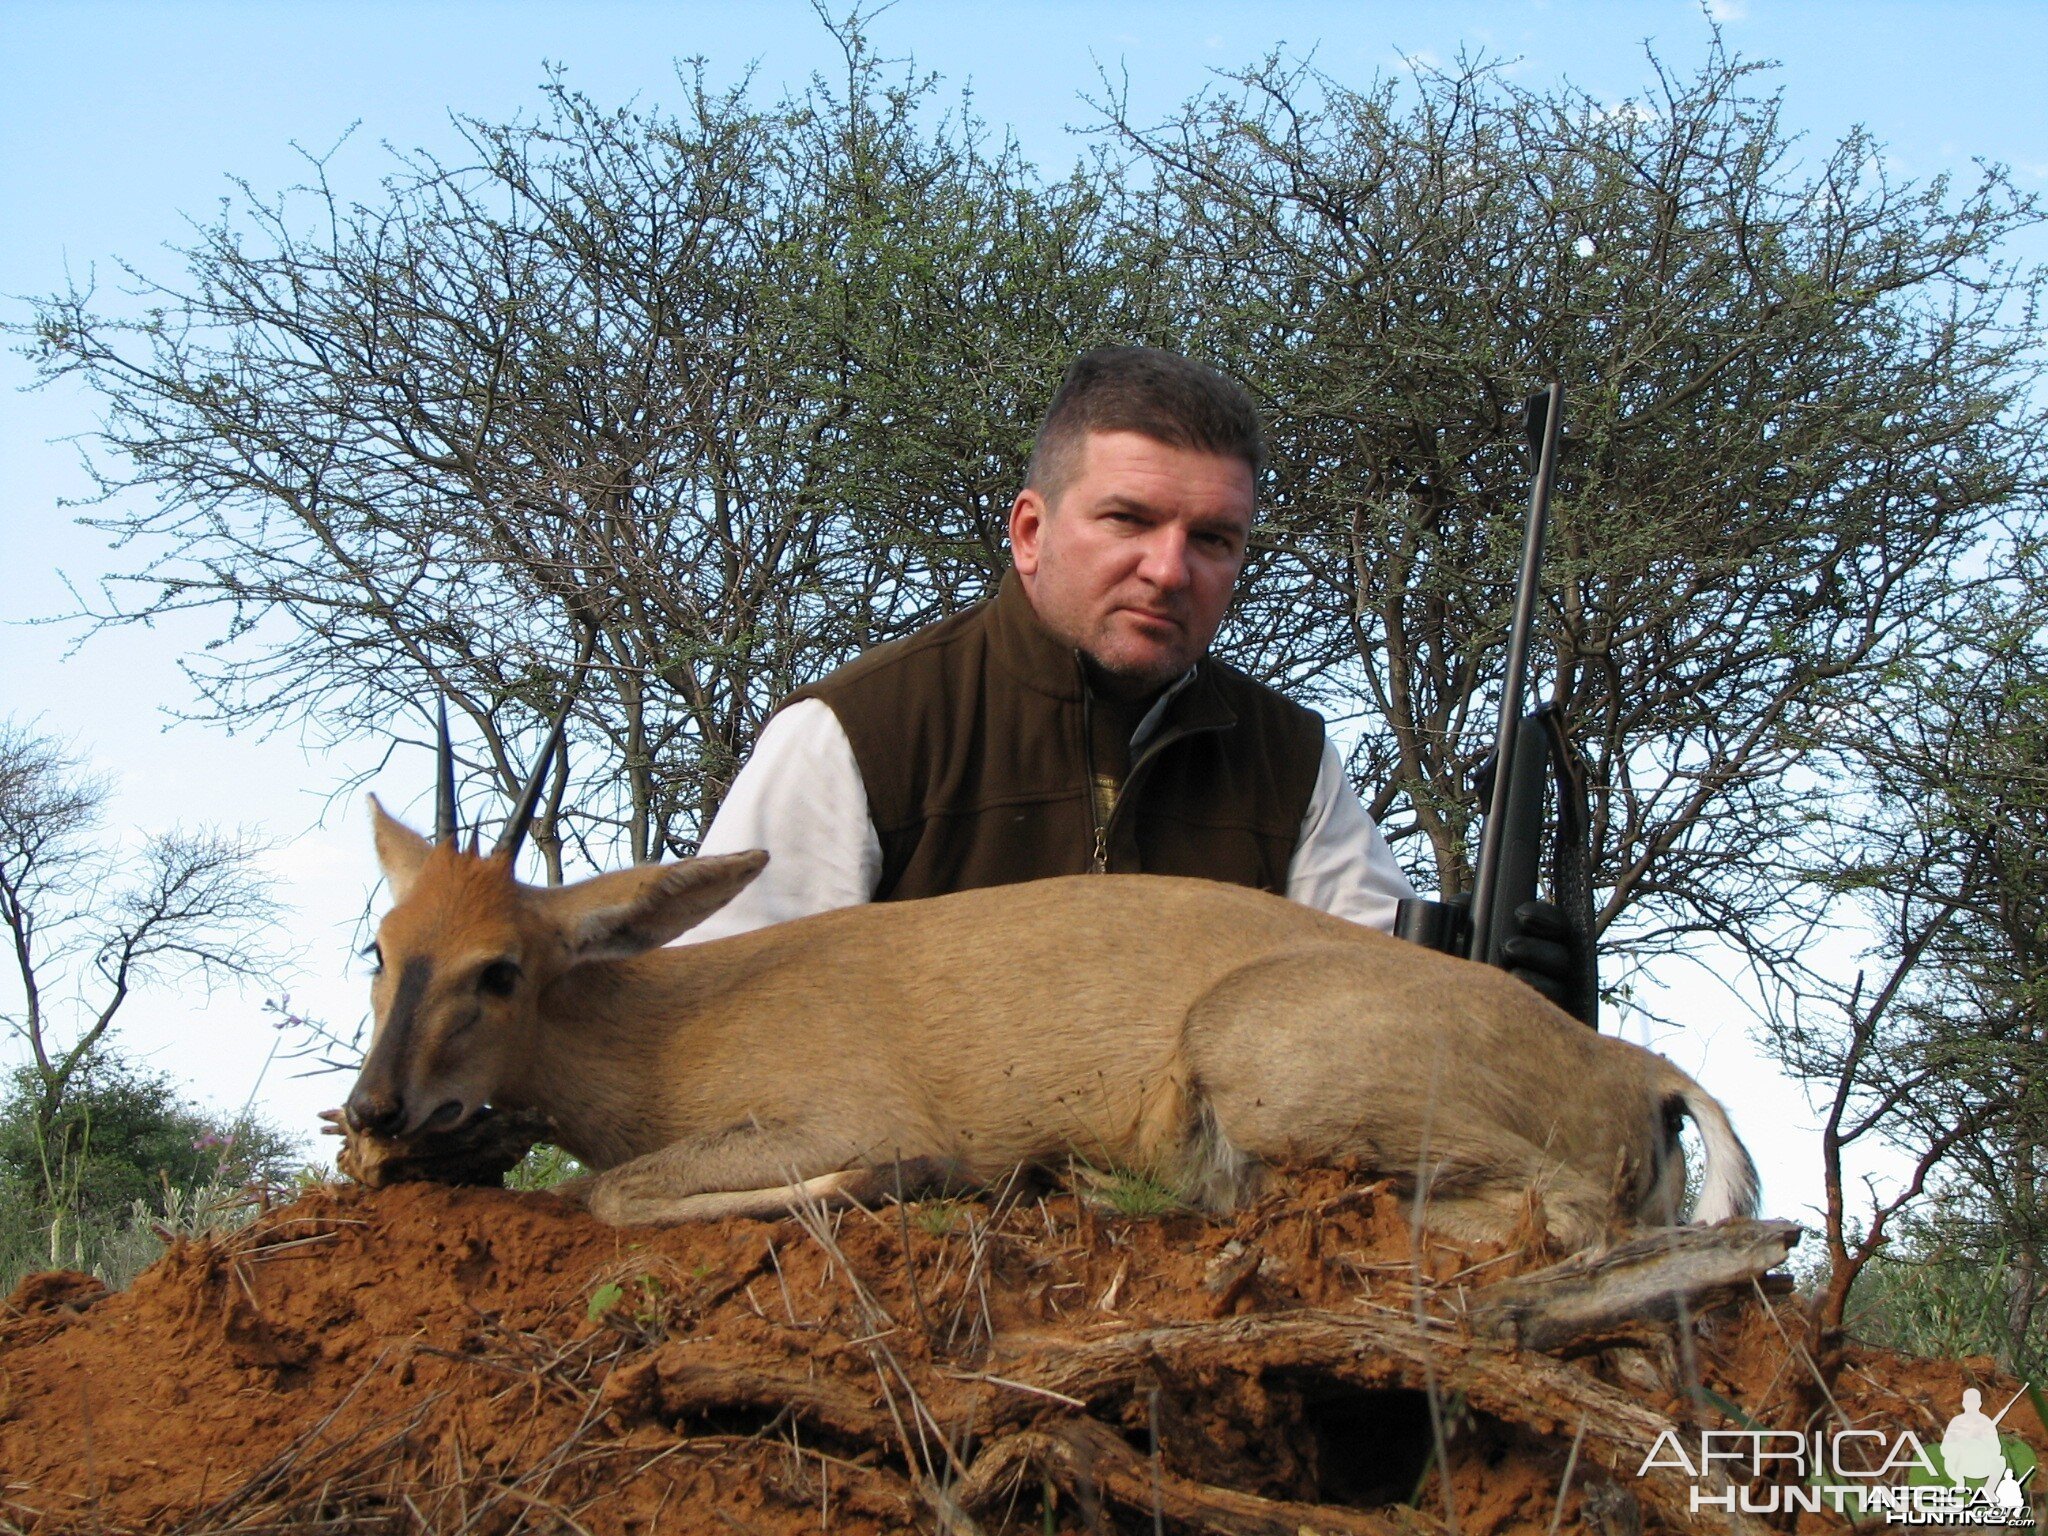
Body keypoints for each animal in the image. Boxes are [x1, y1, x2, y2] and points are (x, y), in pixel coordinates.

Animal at [344, 720, 1753, 1253]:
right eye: (381, 946)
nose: (374, 1111)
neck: (665, 1028)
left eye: (502, 968)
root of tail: (1635, 1068)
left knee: (1566, 1212)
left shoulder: (835, 1113)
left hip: (1272, 1064)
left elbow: (614, 1195)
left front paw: (900, 1183)